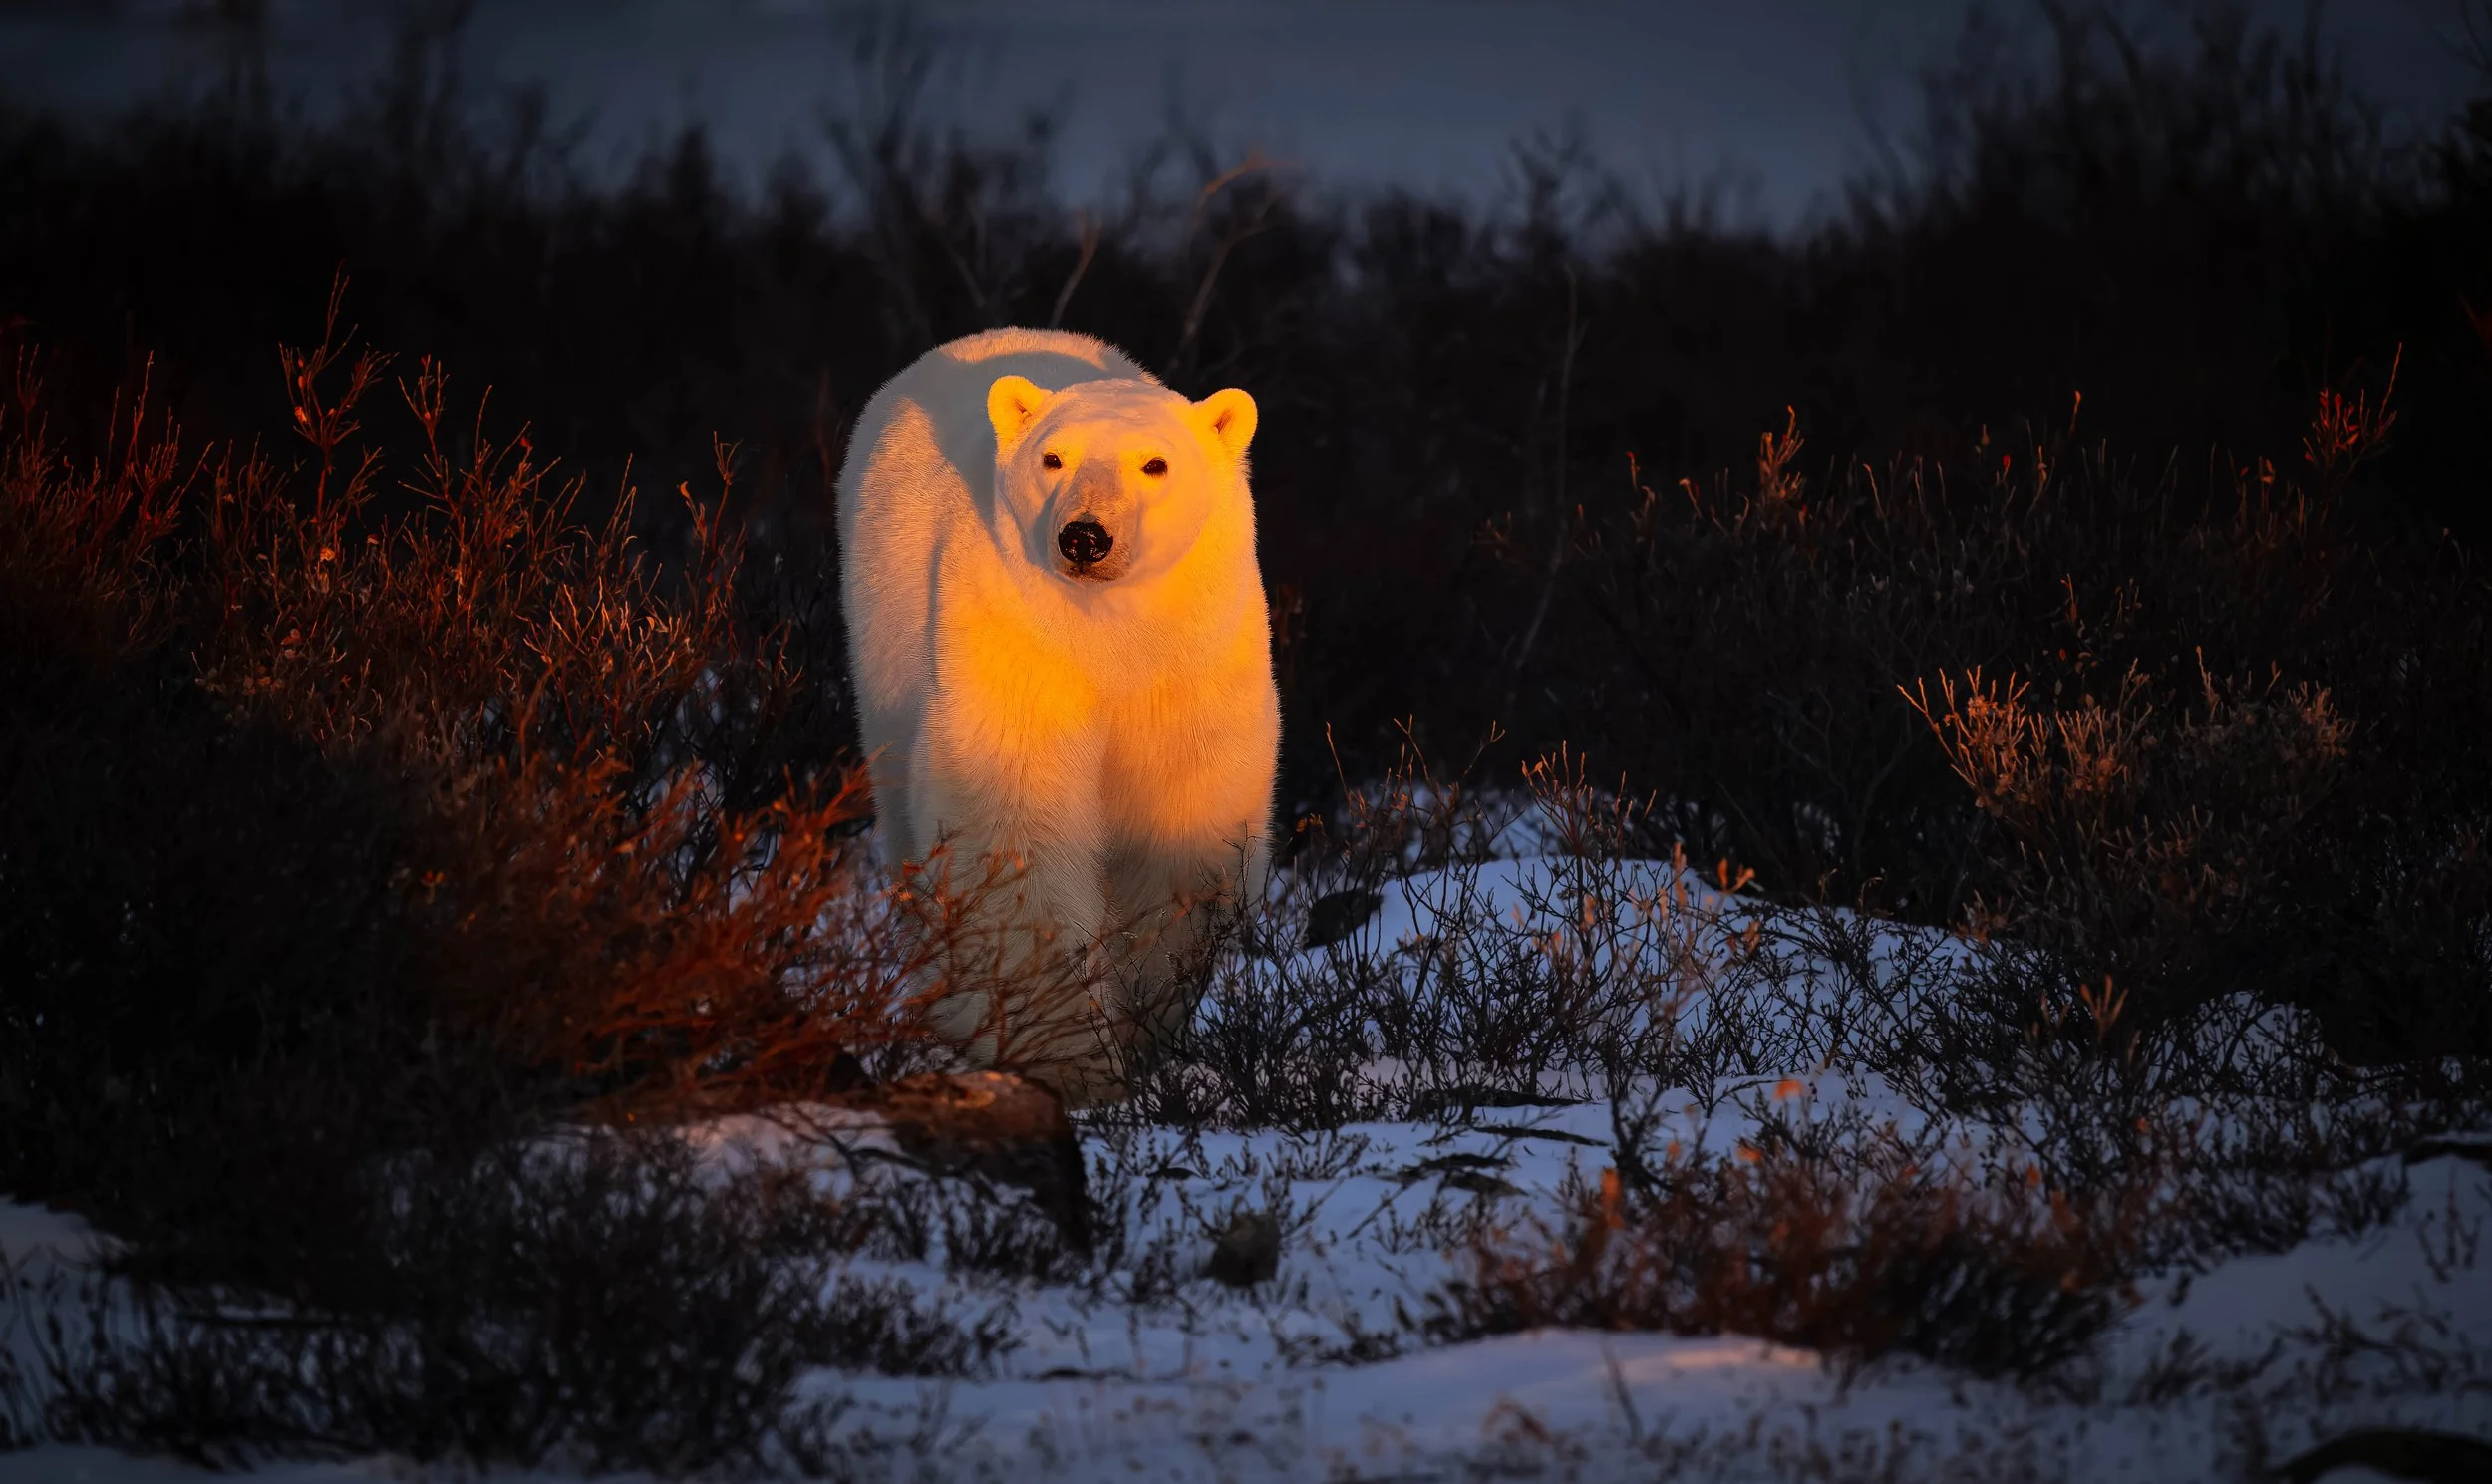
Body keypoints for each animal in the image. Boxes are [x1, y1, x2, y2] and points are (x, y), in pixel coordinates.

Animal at [836, 327, 1279, 1100]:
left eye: (1155, 464)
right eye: (1053, 459)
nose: (1084, 536)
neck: (1111, 634)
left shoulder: (1195, 657)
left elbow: (1178, 821)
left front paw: (1141, 1016)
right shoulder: (1016, 630)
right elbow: (1015, 816)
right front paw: (1068, 1059)